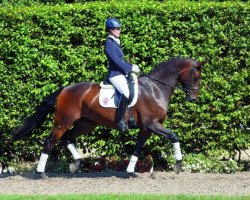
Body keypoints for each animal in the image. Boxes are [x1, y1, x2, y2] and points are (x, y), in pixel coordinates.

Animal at [11, 57, 205, 178]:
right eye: (195, 76)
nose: (193, 99)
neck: (155, 88)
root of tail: (65, 89)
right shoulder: (152, 124)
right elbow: (174, 136)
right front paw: (178, 165)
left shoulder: (146, 129)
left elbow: (137, 148)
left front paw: (130, 171)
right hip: (63, 121)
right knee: (50, 141)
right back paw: (41, 173)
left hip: (86, 124)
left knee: (69, 137)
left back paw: (76, 164)